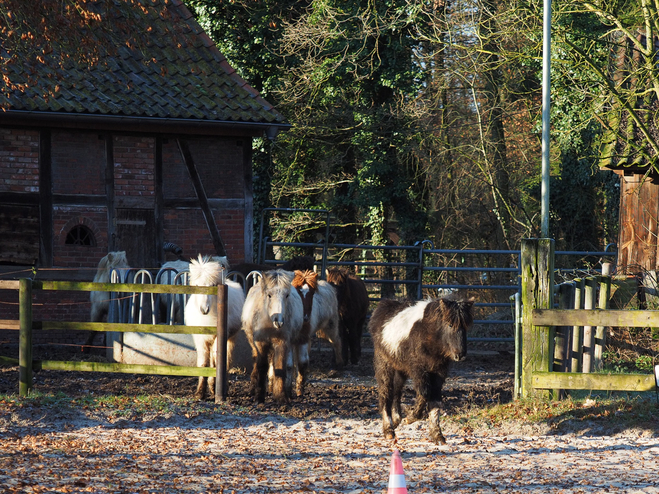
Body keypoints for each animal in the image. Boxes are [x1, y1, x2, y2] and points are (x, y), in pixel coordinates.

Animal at [184, 256, 246, 400]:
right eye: (197, 286)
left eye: (212, 286)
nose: (204, 309)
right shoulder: (200, 340)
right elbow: (203, 363)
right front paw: (200, 393)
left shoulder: (220, 338)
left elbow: (218, 362)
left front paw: (215, 388)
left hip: (230, 339)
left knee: (226, 361)